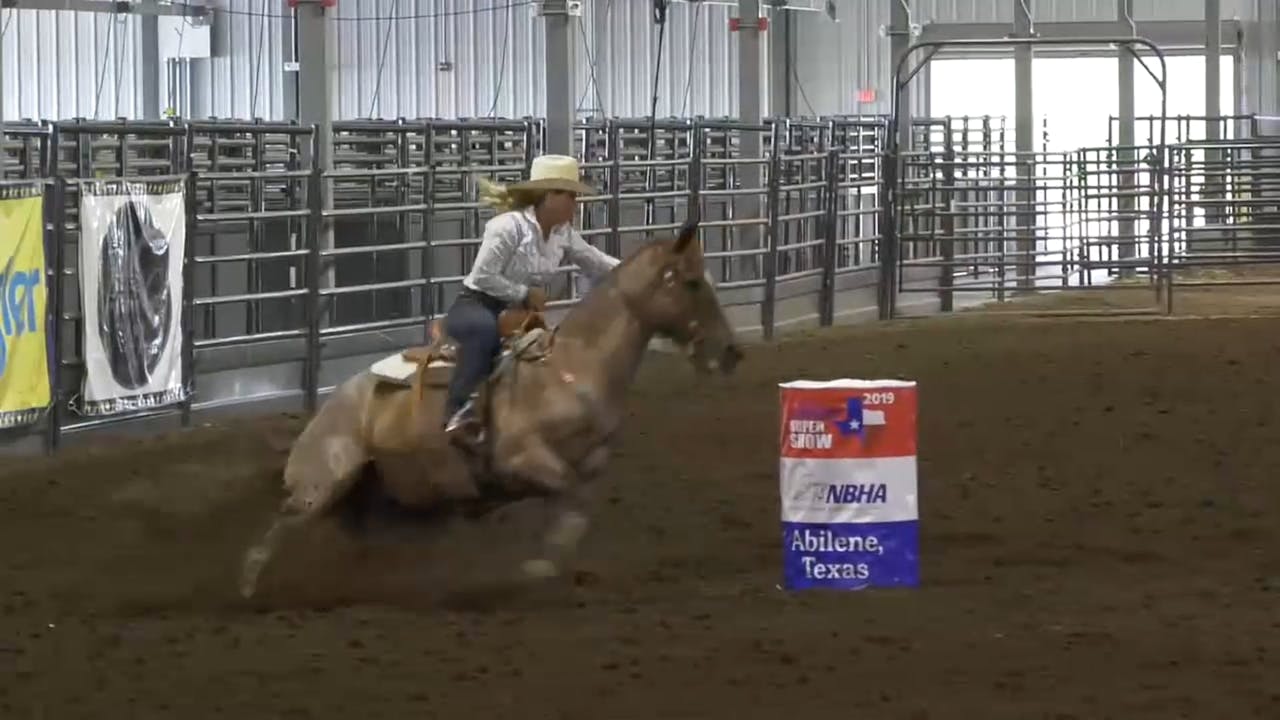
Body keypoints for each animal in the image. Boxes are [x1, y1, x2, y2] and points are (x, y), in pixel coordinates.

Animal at [239, 215, 742, 597]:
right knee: (282, 524)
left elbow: (576, 509)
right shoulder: (519, 459)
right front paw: (536, 569)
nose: (731, 352)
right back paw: (249, 586)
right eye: (691, 282)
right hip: (323, 482)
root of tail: (328, 409)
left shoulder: (591, 464)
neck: (573, 368)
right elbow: (568, 495)